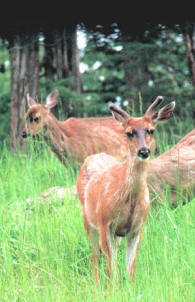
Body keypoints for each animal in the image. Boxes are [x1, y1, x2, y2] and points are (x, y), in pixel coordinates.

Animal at [76, 96, 175, 280]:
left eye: (151, 130)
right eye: (129, 132)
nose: (144, 151)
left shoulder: (137, 228)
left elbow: (130, 270)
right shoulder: (105, 223)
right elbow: (111, 270)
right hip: (87, 219)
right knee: (95, 257)